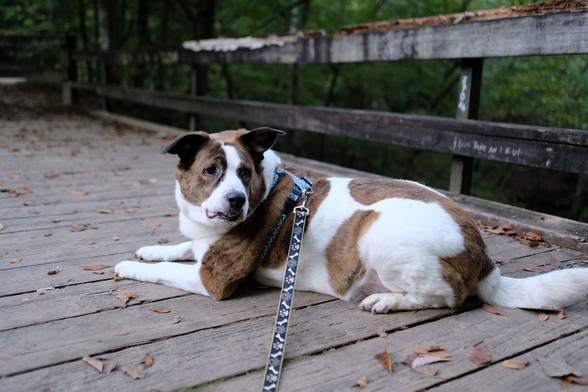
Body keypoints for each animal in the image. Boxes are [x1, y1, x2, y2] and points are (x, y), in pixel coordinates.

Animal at [115, 127, 588, 314]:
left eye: (244, 173)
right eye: (211, 170)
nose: (235, 201)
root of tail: (483, 250)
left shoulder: (213, 279)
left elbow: (170, 272)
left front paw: (130, 265)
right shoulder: (202, 246)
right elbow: (180, 247)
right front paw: (152, 248)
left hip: (379, 234)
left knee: (446, 297)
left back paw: (387, 301)